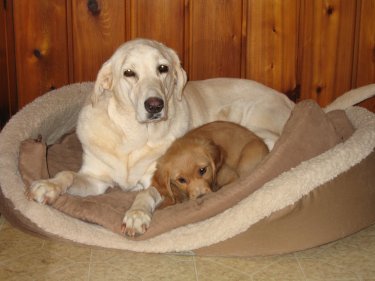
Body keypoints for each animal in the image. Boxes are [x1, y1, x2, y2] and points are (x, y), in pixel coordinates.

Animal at [27, 38, 375, 236]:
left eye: (163, 68)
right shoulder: (95, 178)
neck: (134, 135)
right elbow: (67, 173)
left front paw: (136, 214)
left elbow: (145, 193)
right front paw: (47, 185)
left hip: (253, 121)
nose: (155, 105)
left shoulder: (157, 177)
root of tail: (293, 102)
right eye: (129, 73)